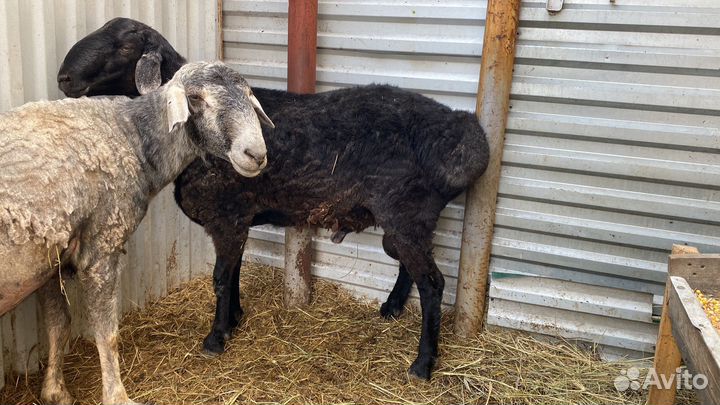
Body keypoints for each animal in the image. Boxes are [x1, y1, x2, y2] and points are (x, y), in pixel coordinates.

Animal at [0, 61, 274, 405]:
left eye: (249, 96)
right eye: (196, 99)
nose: (256, 154)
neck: (132, 136)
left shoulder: (53, 255)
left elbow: (58, 324)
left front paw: (55, 391)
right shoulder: (101, 247)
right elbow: (107, 333)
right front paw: (117, 396)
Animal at [58, 17, 490, 380]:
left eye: (126, 43)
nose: (64, 78)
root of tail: (467, 134)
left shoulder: (227, 216)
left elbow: (220, 277)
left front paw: (216, 338)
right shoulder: (238, 218)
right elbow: (233, 272)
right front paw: (235, 319)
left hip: (406, 213)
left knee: (433, 284)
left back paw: (423, 364)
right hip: (406, 219)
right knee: (409, 266)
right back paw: (392, 308)